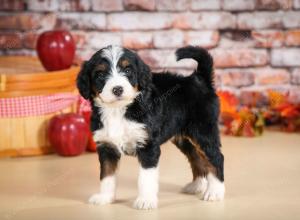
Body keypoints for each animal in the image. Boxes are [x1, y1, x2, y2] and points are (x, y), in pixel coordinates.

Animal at [77, 45, 225, 210]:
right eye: (101, 74)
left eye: (127, 70)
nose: (117, 89)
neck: (118, 110)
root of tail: (199, 78)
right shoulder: (106, 146)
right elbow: (106, 175)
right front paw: (104, 197)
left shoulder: (148, 145)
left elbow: (146, 177)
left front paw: (145, 200)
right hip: (183, 136)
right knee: (195, 156)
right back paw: (197, 185)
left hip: (203, 131)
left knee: (216, 158)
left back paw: (215, 192)